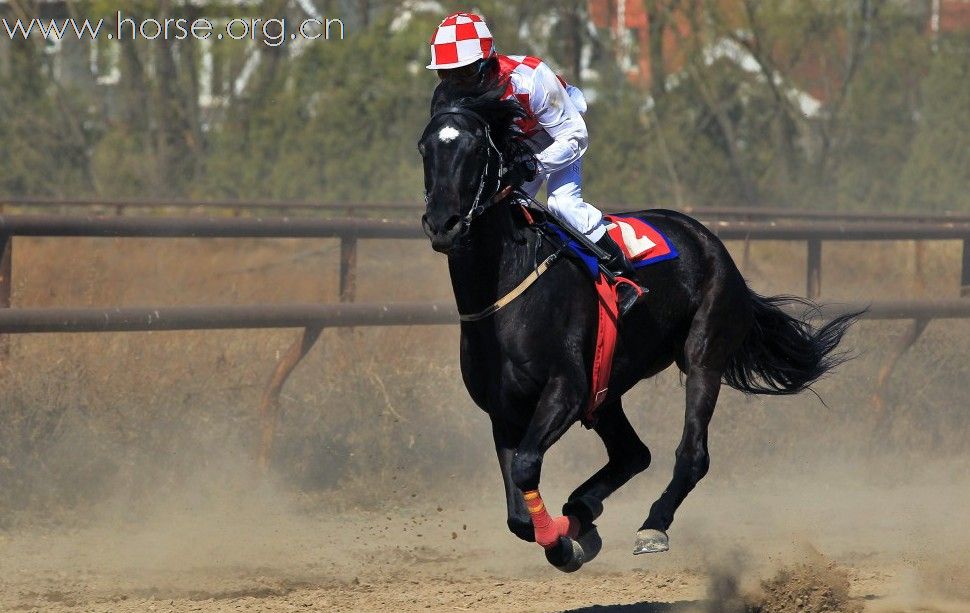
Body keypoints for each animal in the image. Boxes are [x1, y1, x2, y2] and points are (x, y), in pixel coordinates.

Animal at [416, 79, 856, 572]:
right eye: (425, 148)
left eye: (475, 148)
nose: (443, 224)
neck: (506, 294)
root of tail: (709, 240)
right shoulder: (504, 410)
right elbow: (517, 513)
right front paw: (572, 532)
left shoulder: (566, 389)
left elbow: (527, 465)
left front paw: (565, 542)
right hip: (607, 391)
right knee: (633, 454)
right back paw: (583, 509)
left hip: (703, 357)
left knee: (692, 454)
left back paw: (652, 526)